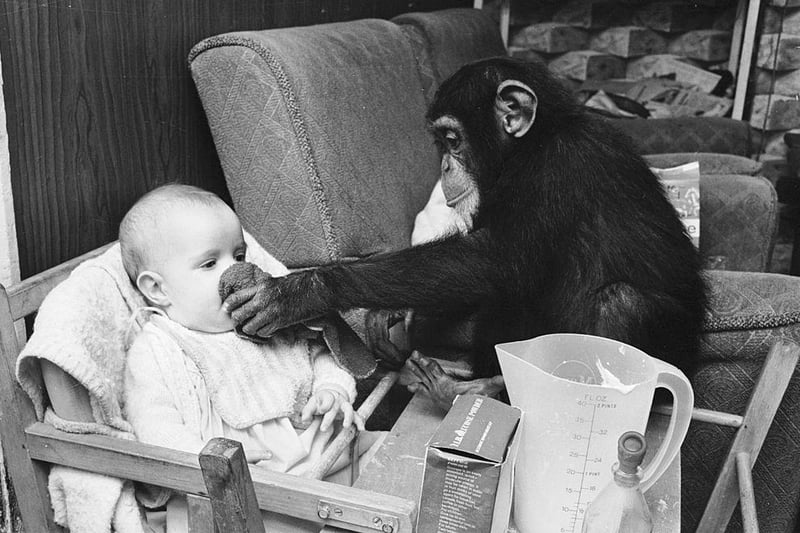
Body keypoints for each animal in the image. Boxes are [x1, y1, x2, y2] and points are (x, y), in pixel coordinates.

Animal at [225, 57, 708, 408]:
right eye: (441, 143)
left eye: (453, 140)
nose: (443, 165)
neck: (529, 148)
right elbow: (474, 266)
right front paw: (393, 314)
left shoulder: (560, 167)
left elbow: (495, 257)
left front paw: (301, 291)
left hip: (673, 361)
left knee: (621, 305)